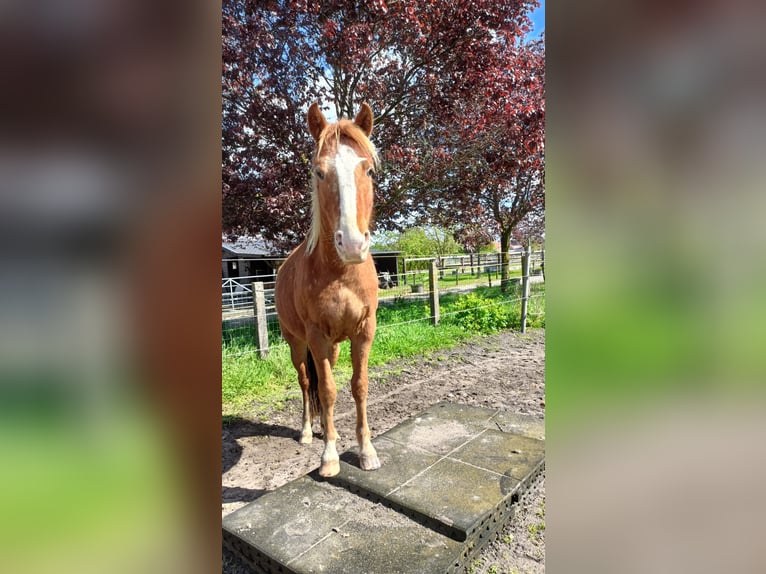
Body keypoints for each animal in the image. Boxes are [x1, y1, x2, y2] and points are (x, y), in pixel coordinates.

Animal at [276, 104, 384, 482]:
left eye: (369, 169)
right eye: (319, 172)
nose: (352, 244)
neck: (340, 274)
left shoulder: (365, 331)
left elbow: (358, 386)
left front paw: (366, 451)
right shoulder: (316, 336)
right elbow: (326, 389)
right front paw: (330, 456)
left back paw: (324, 427)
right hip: (296, 342)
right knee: (306, 381)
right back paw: (310, 431)